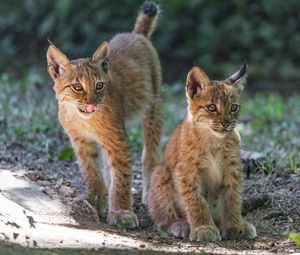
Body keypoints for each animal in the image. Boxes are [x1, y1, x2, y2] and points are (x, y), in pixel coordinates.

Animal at [46, 1, 162, 228]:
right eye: (77, 87)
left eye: (99, 86)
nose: (92, 103)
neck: (81, 118)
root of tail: (135, 34)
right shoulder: (80, 140)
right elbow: (91, 171)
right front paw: (96, 200)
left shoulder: (117, 140)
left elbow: (122, 175)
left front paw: (121, 212)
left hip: (153, 107)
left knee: (150, 154)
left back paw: (148, 193)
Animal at [148, 64, 255, 241]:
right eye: (212, 108)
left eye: (233, 108)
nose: (226, 123)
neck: (214, 139)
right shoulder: (187, 170)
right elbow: (196, 199)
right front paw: (203, 228)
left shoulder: (233, 166)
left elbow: (233, 196)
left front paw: (234, 225)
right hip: (160, 171)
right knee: (159, 218)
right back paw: (180, 224)